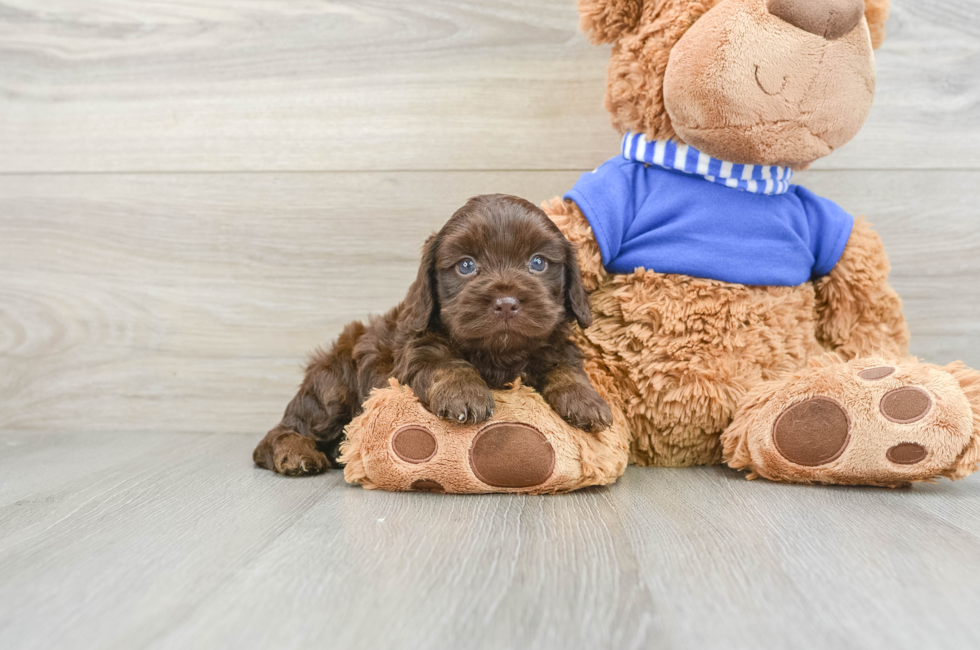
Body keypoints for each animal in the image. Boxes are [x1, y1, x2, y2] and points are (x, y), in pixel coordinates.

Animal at [251, 195, 612, 474]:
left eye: (538, 263)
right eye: (466, 266)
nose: (506, 303)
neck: (497, 354)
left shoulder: (554, 345)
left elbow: (566, 368)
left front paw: (586, 401)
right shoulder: (418, 348)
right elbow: (447, 364)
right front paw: (465, 395)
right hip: (333, 387)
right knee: (282, 432)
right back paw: (295, 454)